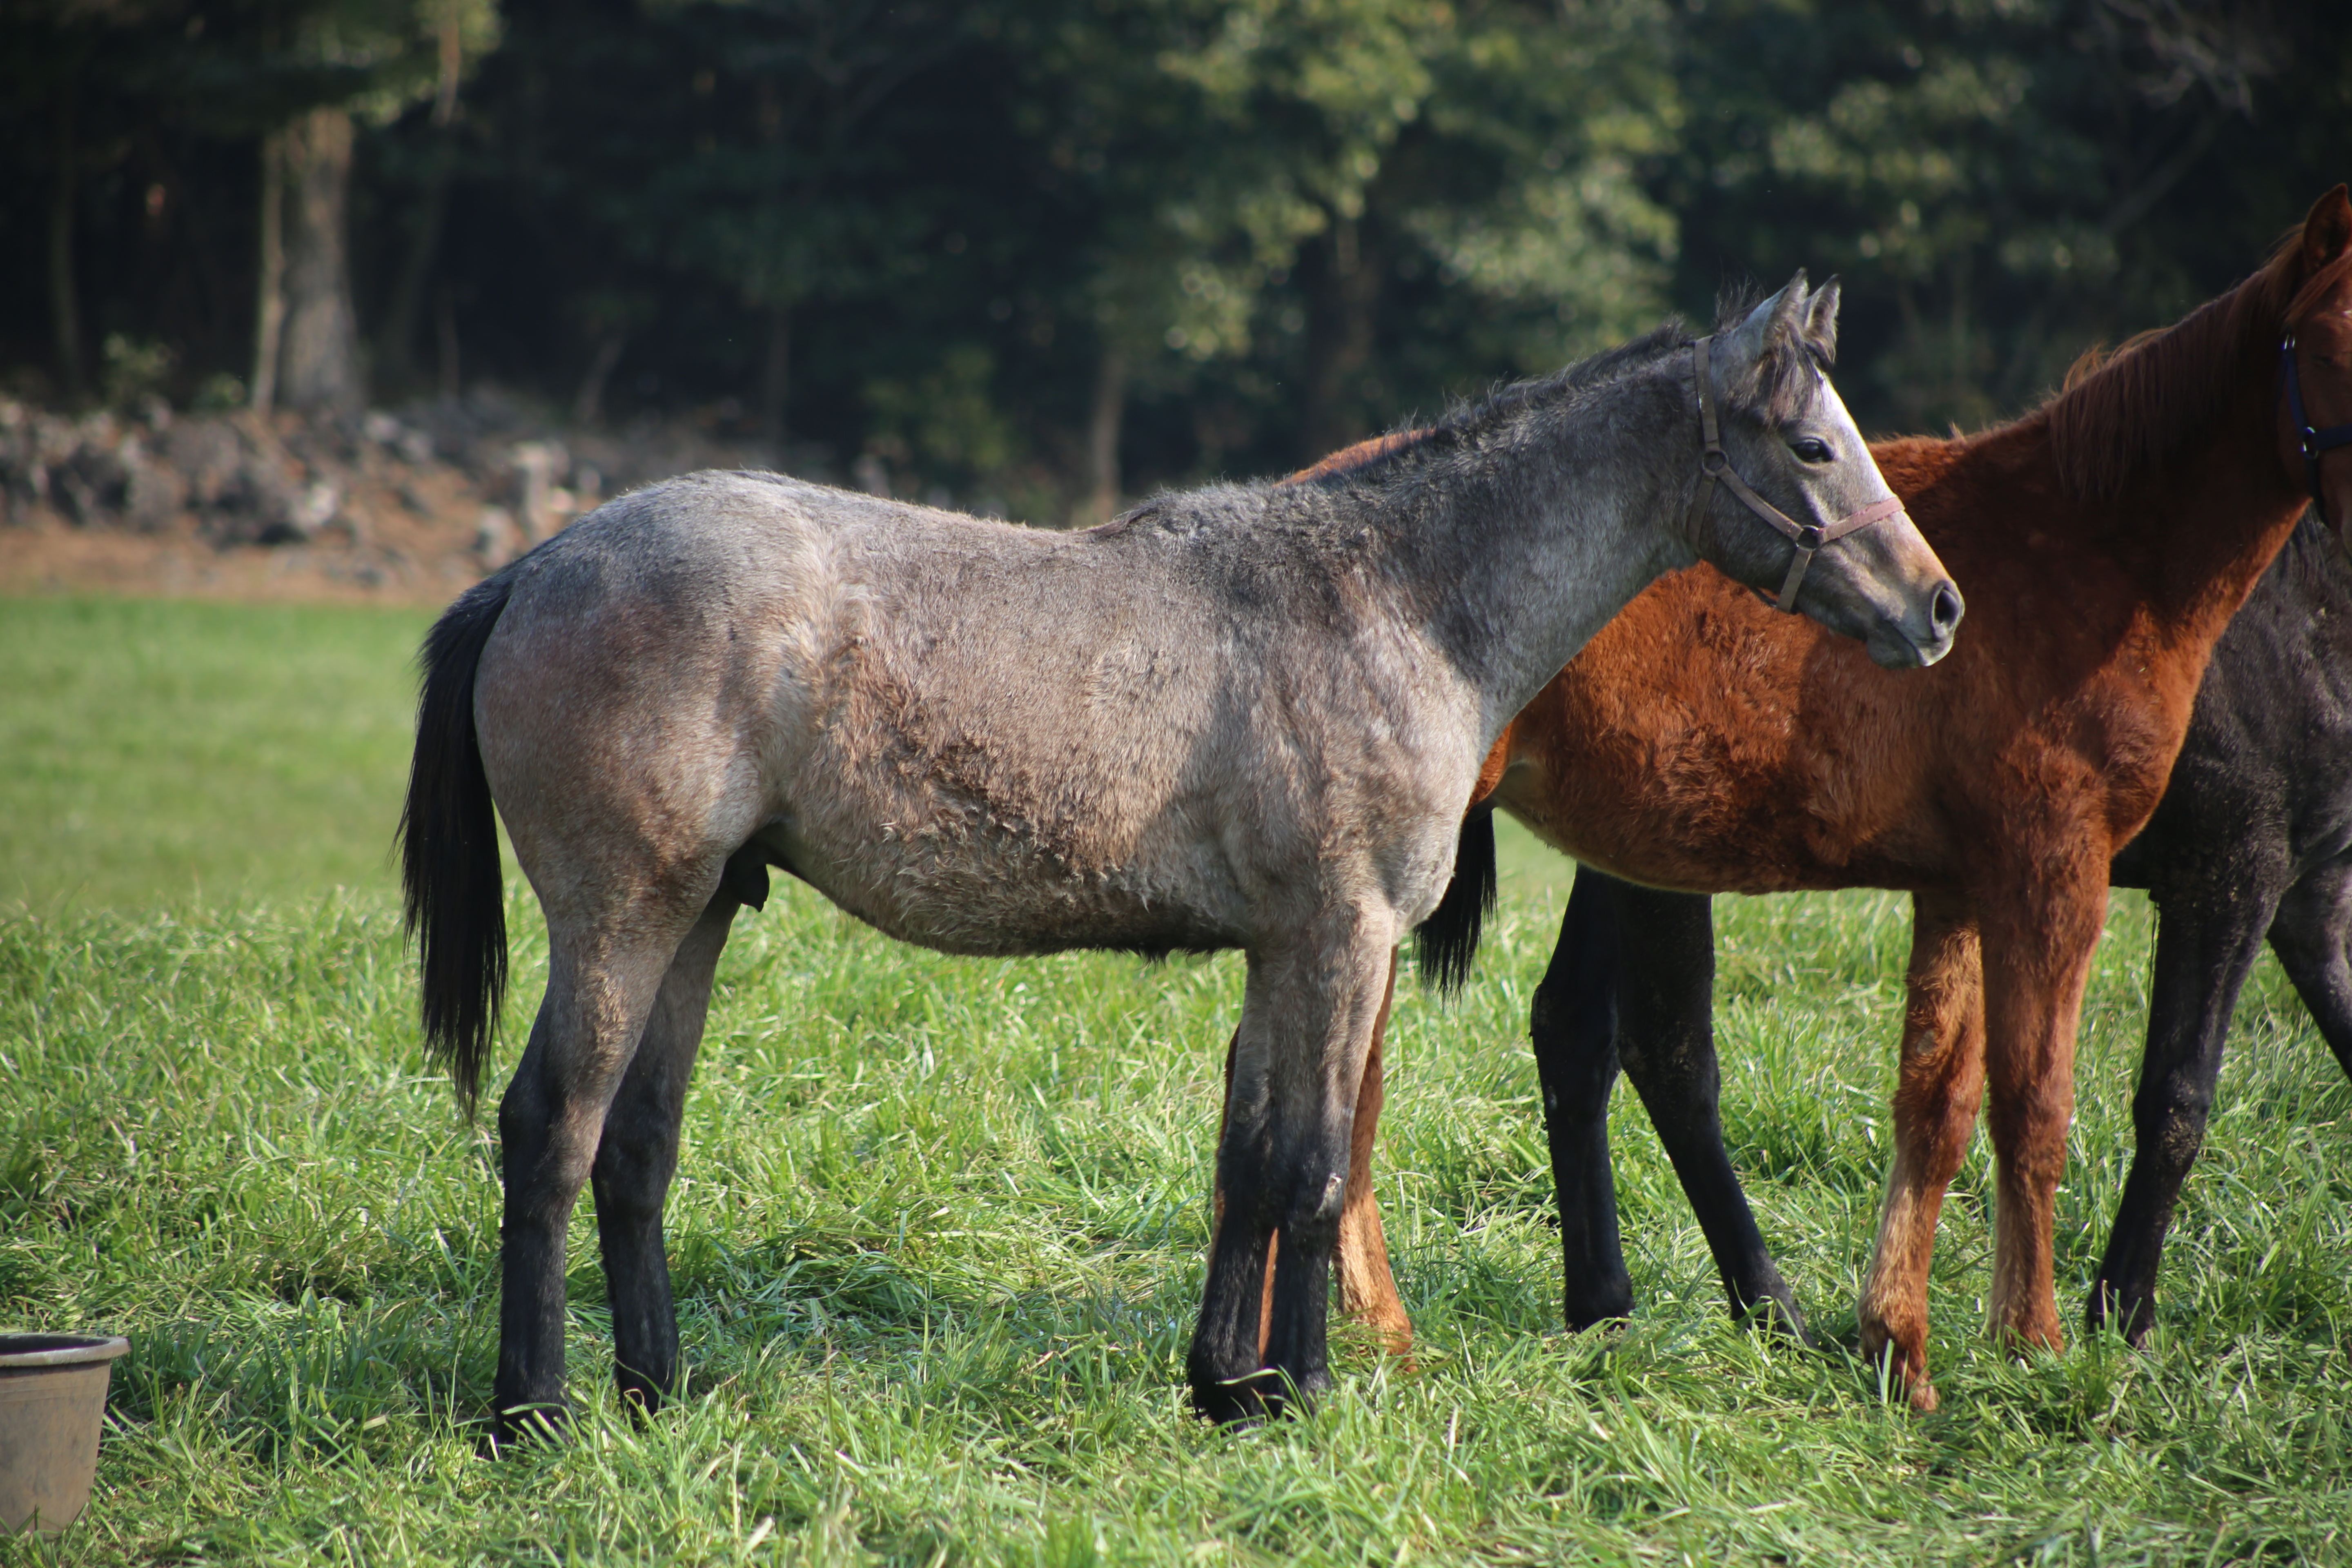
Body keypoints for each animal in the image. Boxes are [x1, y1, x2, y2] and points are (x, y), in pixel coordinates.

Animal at [404, 272, 1966, 1439]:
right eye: (1815, 447)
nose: (1939, 608)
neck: (1391, 600)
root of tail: (533, 567)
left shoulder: (1288, 947)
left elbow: (1257, 1154)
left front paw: (1232, 1383)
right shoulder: (1343, 938)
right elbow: (1317, 1166)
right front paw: (1310, 1388)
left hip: (700, 916)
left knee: (637, 1147)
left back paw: (656, 1393)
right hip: (623, 915)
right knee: (552, 1128)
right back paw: (534, 1413)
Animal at [1261, 190, 2352, 1420]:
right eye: (2328, 346)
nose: (1935, 611)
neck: (2096, 559)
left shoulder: (1976, 884)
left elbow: (1940, 1101)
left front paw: (1902, 1348)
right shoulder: (2110, 869)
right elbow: (2059, 1100)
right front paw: (2046, 1344)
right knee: (1398, 1083)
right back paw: (1393, 1330)